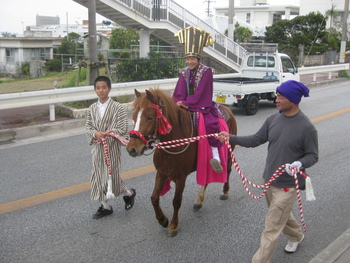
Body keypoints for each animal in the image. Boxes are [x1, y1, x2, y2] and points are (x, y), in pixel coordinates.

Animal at [126, 88, 238, 237]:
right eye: (134, 116)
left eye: (150, 117)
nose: (132, 149)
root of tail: (227, 110)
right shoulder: (161, 173)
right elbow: (154, 198)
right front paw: (163, 220)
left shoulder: (180, 178)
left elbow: (176, 201)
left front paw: (173, 225)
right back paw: (199, 200)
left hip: (229, 153)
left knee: (229, 170)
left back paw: (225, 192)